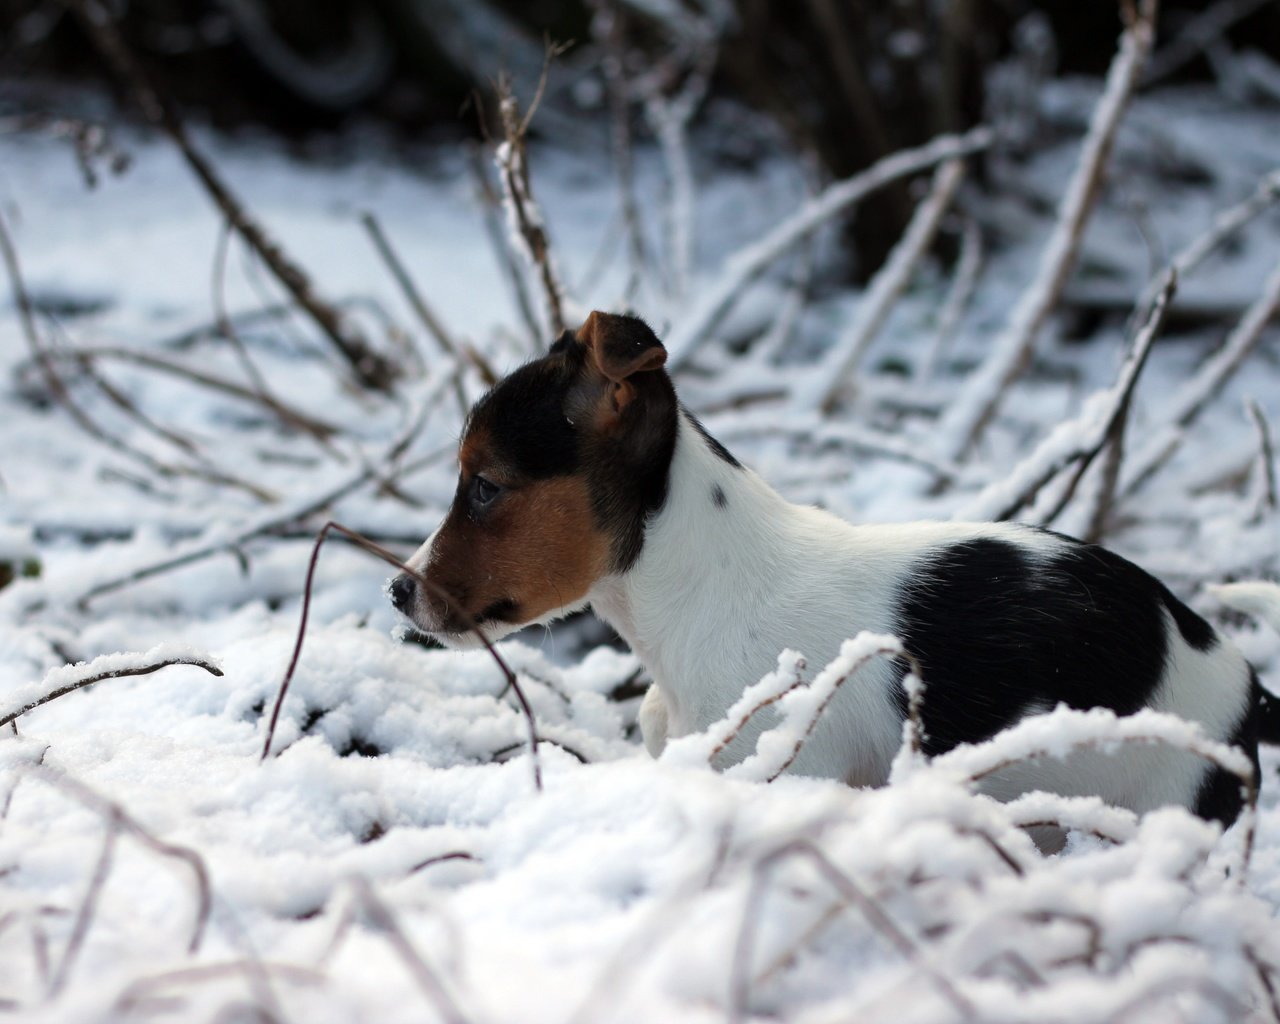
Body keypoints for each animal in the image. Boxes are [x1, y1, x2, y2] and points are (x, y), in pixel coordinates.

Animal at [391, 312, 1280, 839]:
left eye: (484, 486)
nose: (396, 589)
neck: (688, 599)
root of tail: (1246, 687)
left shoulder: (786, 771)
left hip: (1165, 806)